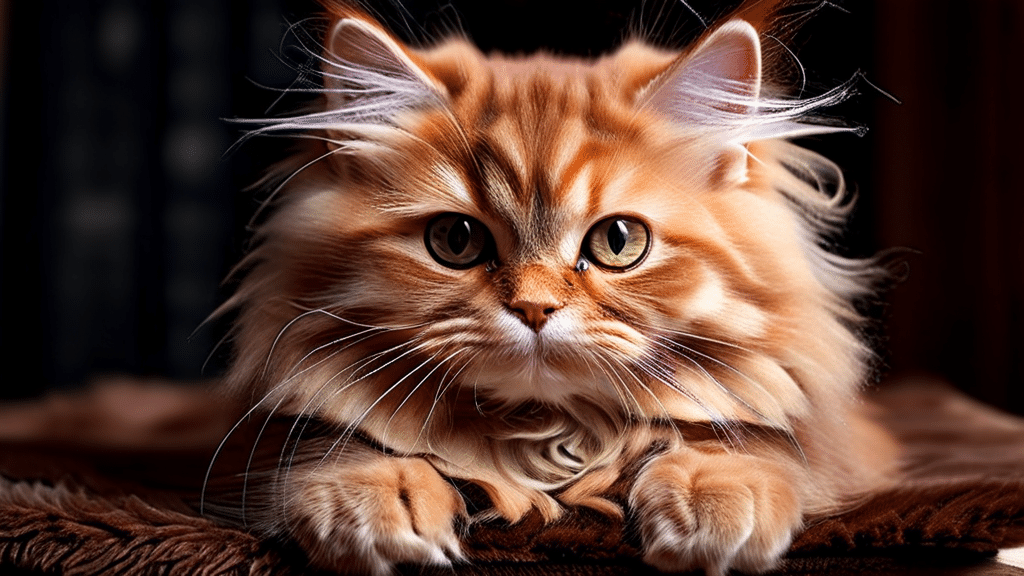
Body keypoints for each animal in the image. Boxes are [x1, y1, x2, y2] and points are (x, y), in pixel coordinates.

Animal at [214, 2, 897, 569]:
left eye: (618, 241)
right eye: (455, 240)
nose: (534, 308)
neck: (546, 434)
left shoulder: (838, 440)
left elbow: (752, 439)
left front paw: (716, 498)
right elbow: (337, 441)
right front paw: (378, 500)